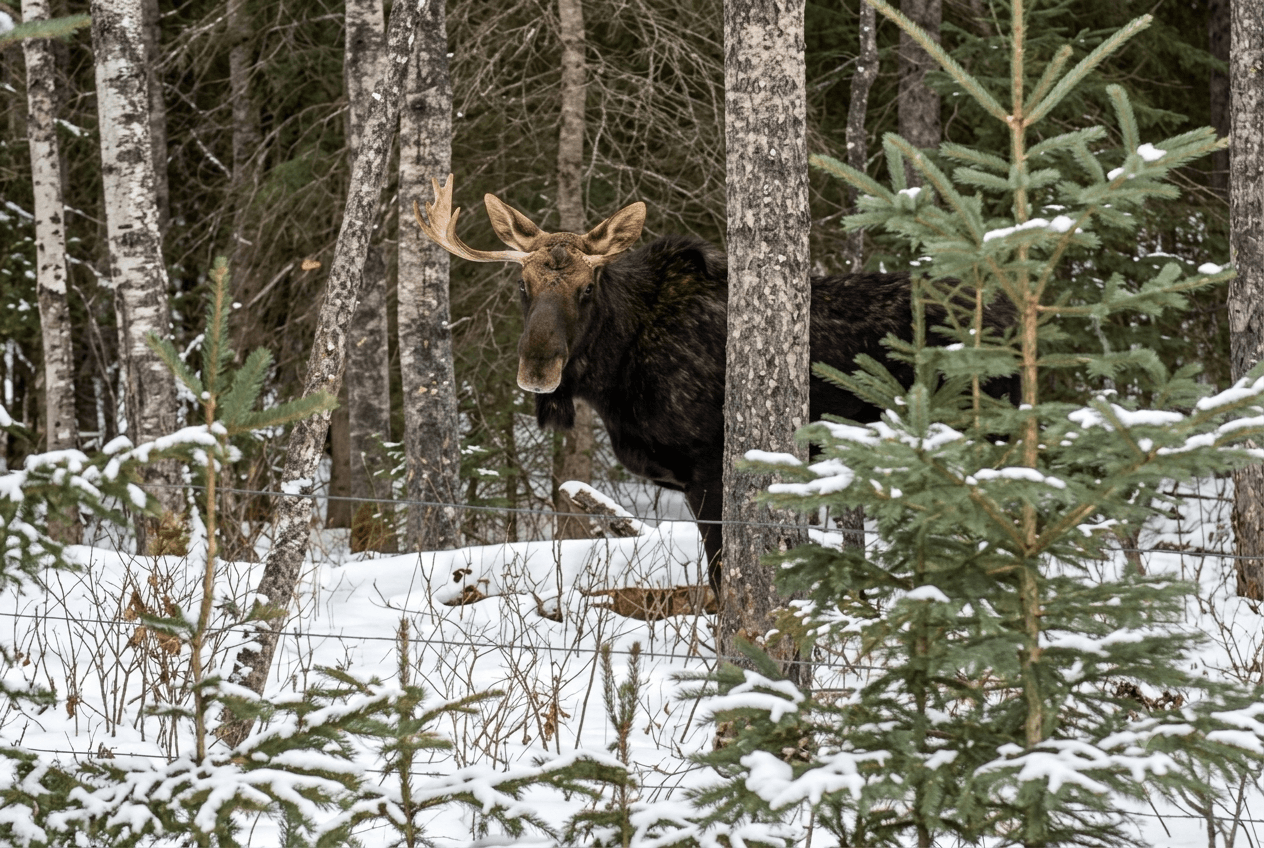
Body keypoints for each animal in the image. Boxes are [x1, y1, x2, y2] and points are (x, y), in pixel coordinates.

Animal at [414, 175, 1016, 593]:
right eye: (522, 284)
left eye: (587, 287)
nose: (538, 370)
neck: (616, 378)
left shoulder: (708, 466)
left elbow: (723, 579)